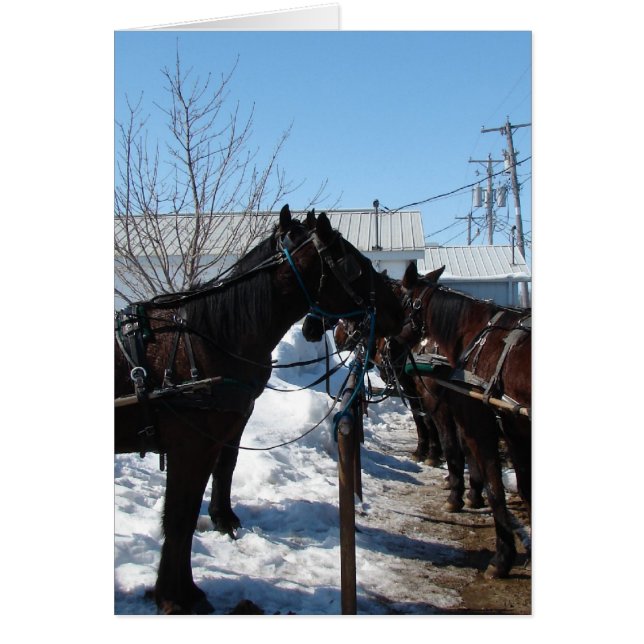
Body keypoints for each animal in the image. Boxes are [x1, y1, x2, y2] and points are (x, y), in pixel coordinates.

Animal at [115, 205, 404, 614]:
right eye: (354, 264)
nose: (400, 312)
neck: (208, 339)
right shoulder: (191, 446)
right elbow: (180, 516)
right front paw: (175, 595)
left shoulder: (224, 431)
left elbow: (220, 474)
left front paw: (220, 526)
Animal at [401, 262, 531, 578]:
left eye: (399, 299)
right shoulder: (513, 432)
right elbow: (524, 487)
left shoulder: (472, 421)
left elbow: (489, 482)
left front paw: (501, 558)